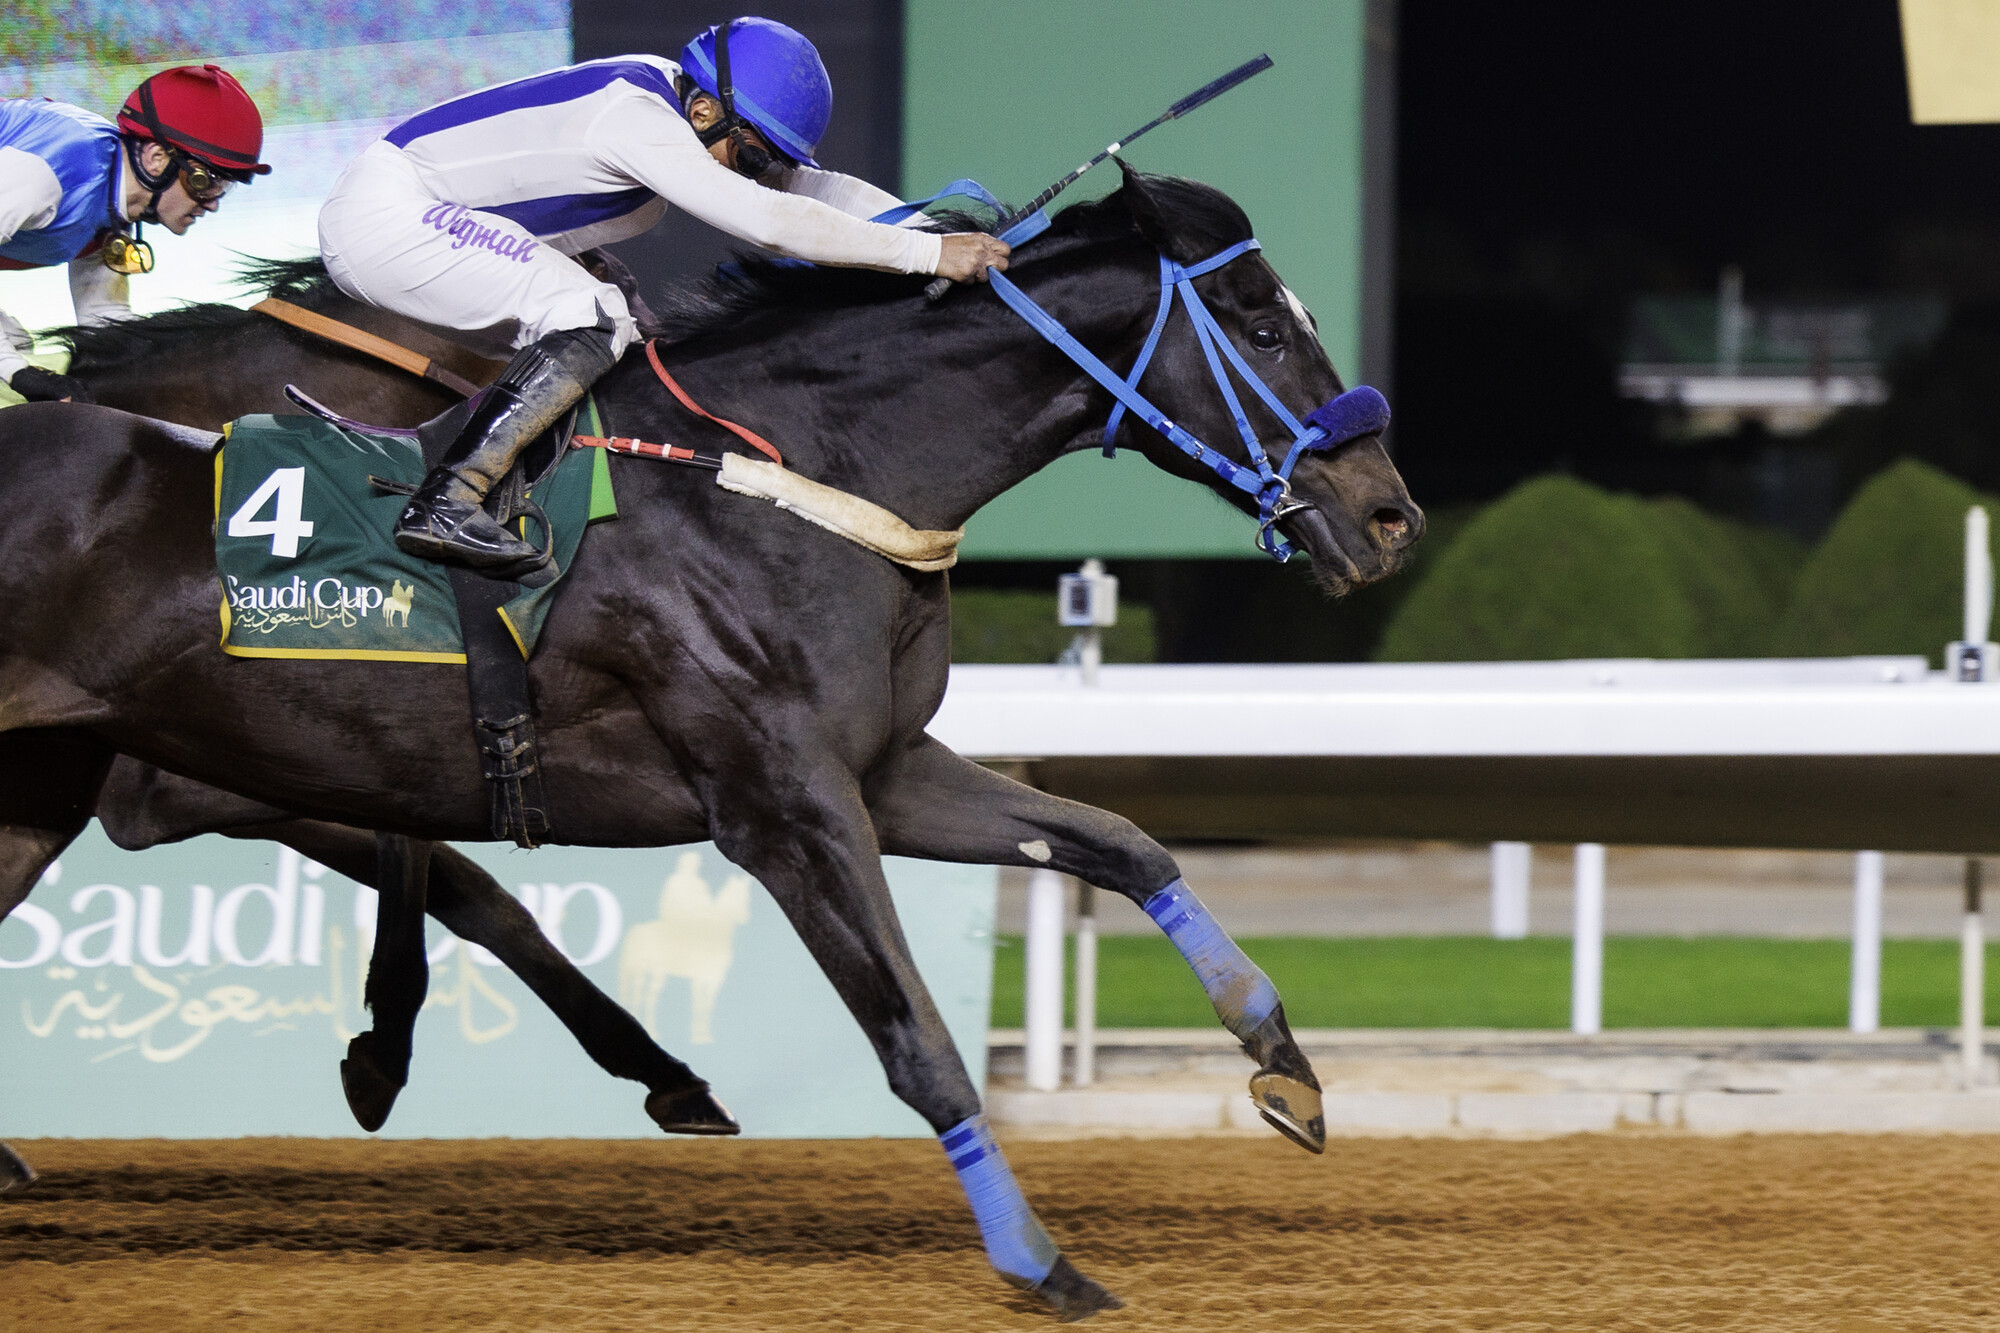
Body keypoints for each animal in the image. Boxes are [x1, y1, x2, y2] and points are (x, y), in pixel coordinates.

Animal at [0, 169, 1421, 1317]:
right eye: (1257, 324)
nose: (1389, 518)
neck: (787, 475)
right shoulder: (785, 809)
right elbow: (916, 1038)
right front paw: (1038, 1262)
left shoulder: (882, 770)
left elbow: (1123, 843)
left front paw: (1284, 1067)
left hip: (41, 786)